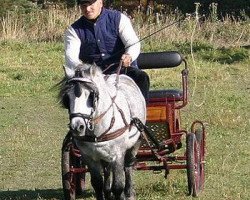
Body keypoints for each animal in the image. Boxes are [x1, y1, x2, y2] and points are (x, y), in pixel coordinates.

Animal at [58, 63, 146, 199]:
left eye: (91, 95)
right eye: (67, 98)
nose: (77, 127)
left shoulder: (117, 155)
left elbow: (118, 186)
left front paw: (121, 194)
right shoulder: (89, 157)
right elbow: (97, 183)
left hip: (135, 143)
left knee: (128, 166)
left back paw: (129, 192)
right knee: (107, 170)